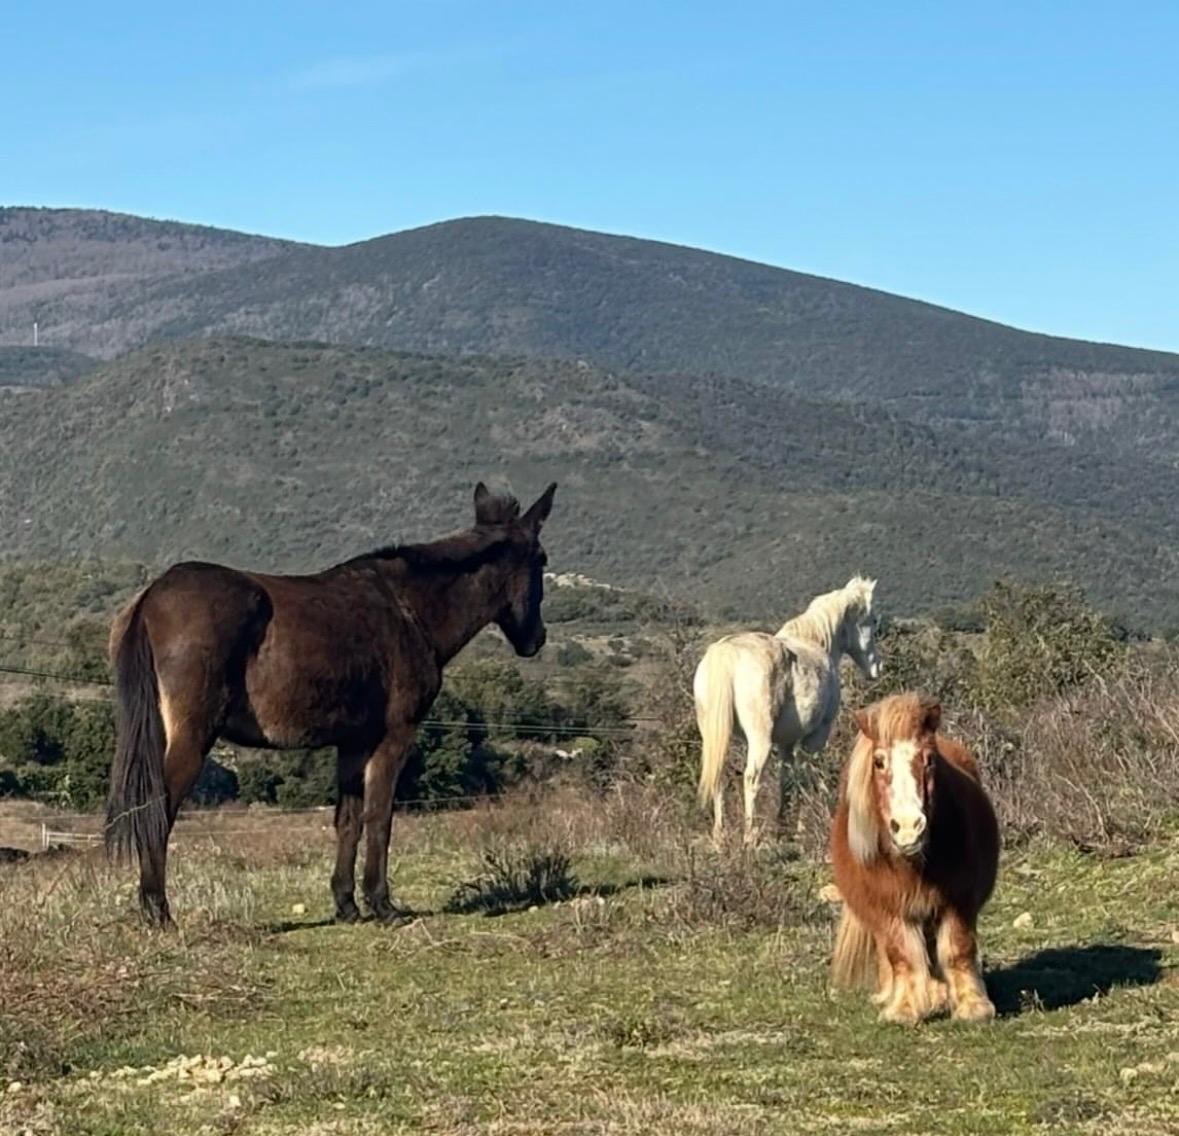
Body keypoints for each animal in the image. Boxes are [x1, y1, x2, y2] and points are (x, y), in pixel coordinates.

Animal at [105, 481, 557, 927]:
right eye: (542, 559)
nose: (537, 640)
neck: (409, 609)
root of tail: (151, 595)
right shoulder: (395, 736)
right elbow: (379, 817)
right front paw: (383, 905)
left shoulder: (355, 742)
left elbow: (348, 820)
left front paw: (347, 905)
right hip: (192, 736)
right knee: (157, 811)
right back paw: (159, 913)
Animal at [694, 576, 881, 846]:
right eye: (873, 621)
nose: (877, 668)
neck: (815, 642)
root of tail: (727, 654)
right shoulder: (814, 738)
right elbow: (805, 776)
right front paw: (801, 827)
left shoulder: (786, 743)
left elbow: (787, 779)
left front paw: (783, 826)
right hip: (759, 740)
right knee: (751, 779)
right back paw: (750, 837)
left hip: (715, 737)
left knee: (718, 777)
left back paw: (720, 837)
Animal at [830, 692, 999, 1025]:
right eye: (879, 762)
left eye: (929, 759)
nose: (908, 828)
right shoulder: (889, 908)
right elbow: (902, 956)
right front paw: (904, 1009)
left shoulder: (957, 901)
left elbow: (958, 949)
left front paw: (973, 1007)